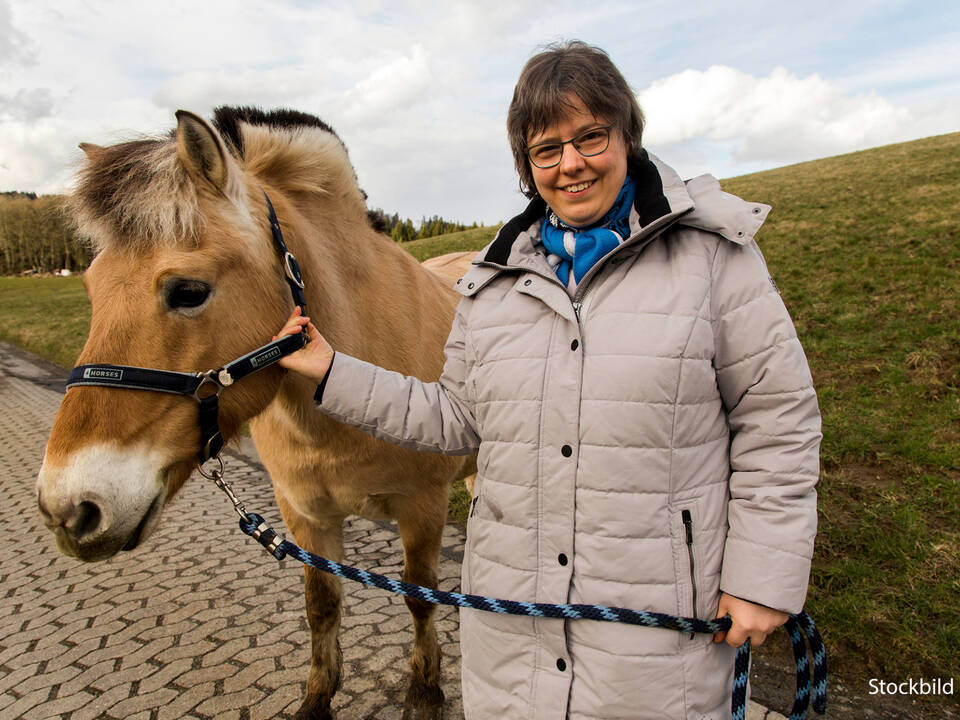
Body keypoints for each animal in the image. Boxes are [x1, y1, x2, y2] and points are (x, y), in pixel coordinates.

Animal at [36, 104, 476, 716]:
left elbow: (420, 598)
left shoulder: (424, 510)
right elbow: (321, 605)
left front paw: (426, 693)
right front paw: (316, 699)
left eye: (189, 291)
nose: (68, 509)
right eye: (90, 289)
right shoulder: (305, 515)